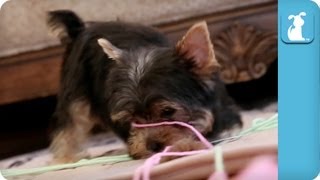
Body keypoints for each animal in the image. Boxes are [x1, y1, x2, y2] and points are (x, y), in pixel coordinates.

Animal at [47, 9, 241, 162]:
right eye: (133, 119)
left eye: (168, 111)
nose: (152, 145)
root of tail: (80, 29)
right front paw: (184, 146)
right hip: (76, 90)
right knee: (71, 122)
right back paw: (67, 157)